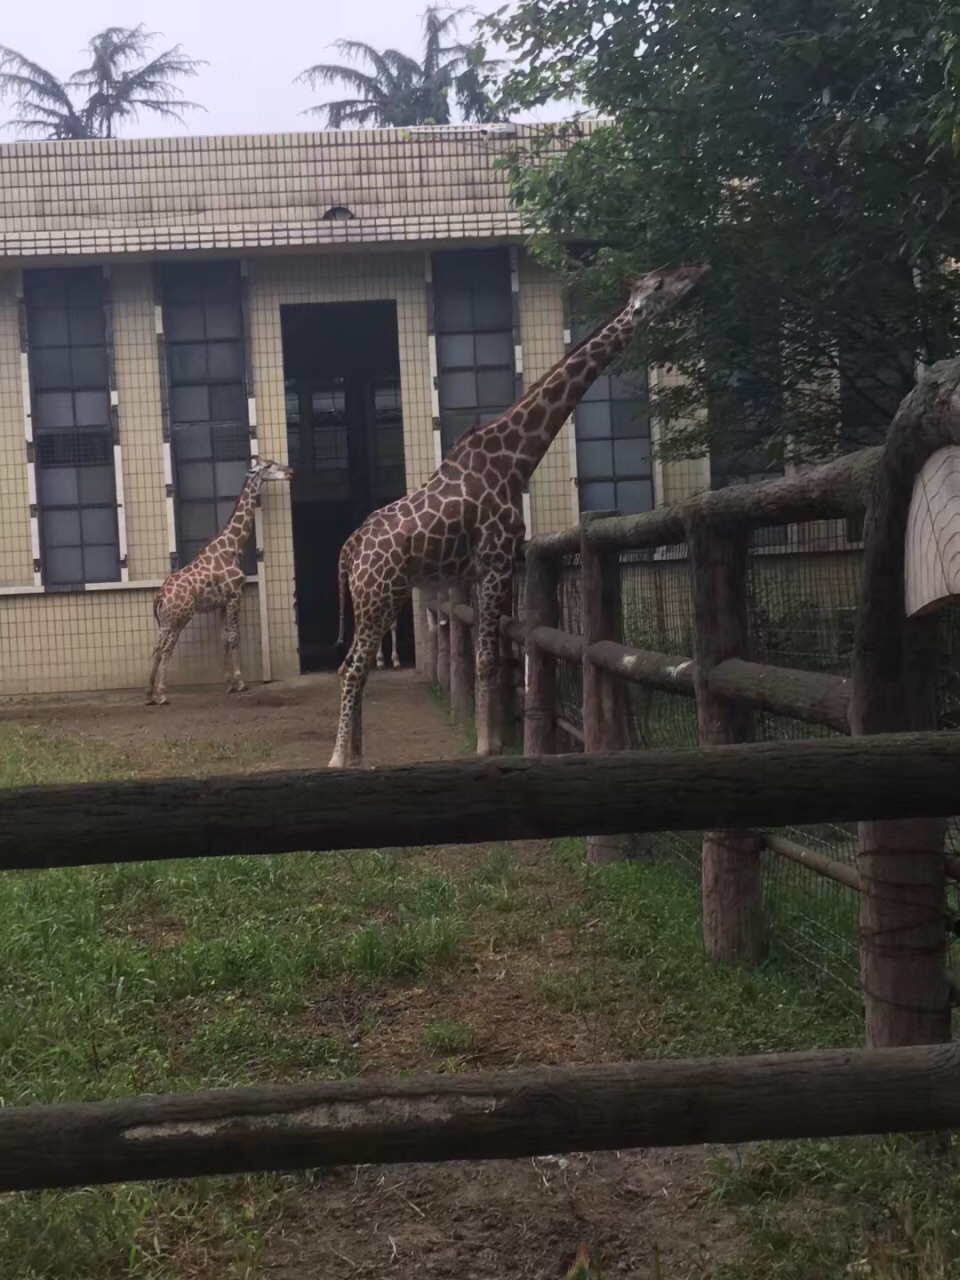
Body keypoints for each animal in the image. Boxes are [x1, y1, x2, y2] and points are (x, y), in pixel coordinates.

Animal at [146, 458, 293, 706]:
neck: (232, 545)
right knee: (166, 649)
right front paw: (240, 682)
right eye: (269, 465)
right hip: (179, 618)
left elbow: (223, 637)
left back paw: (149, 694)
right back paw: (162, 694)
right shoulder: (235, 594)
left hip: (165, 621)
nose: (290, 471)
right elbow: (234, 636)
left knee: (157, 648)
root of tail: (161, 596)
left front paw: (229, 683)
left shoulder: (222, 602)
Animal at [327, 257, 711, 757]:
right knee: (354, 665)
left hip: (379, 597)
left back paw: (355, 752)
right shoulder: (494, 559)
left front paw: (491, 738)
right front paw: (487, 747)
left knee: (353, 663)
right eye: (661, 283)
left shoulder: (485, 568)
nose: (700, 270)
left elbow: (501, 654)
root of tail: (349, 550)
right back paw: (338, 756)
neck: (515, 460)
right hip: (379, 595)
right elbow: (489, 659)